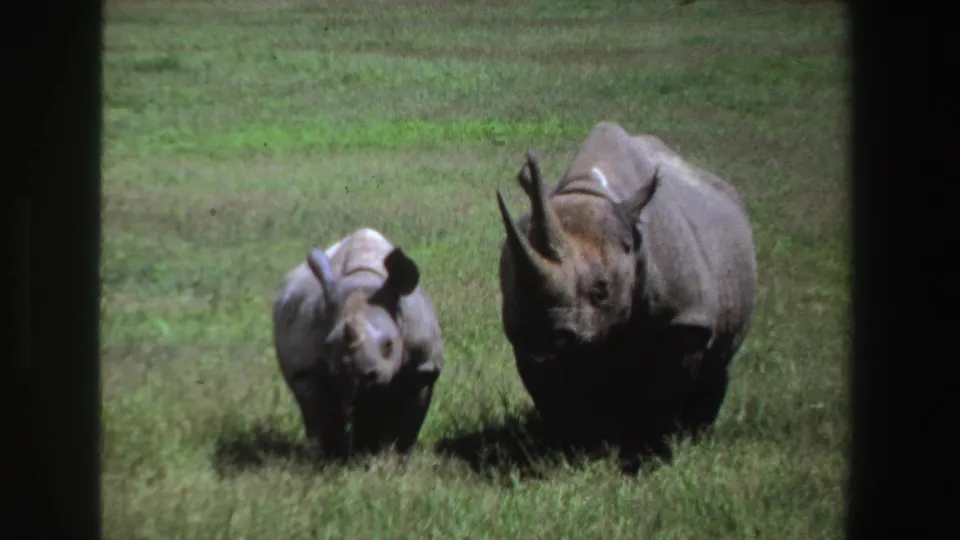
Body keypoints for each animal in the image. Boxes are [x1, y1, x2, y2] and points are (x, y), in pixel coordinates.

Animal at [272, 228, 444, 460]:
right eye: (328, 345)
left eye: (389, 344)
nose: (356, 373)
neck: (363, 280)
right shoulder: (305, 369)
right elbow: (321, 415)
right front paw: (333, 460)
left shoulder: (423, 367)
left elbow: (408, 420)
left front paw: (398, 459)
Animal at [494, 122, 758, 471]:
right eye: (518, 288)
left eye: (601, 290)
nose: (545, 334)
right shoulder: (526, 337)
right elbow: (554, 394)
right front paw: (571, 451)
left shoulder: (684, 321)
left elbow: (664, 391)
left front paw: (648, 455)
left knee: (718, 361)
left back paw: (696, 436)